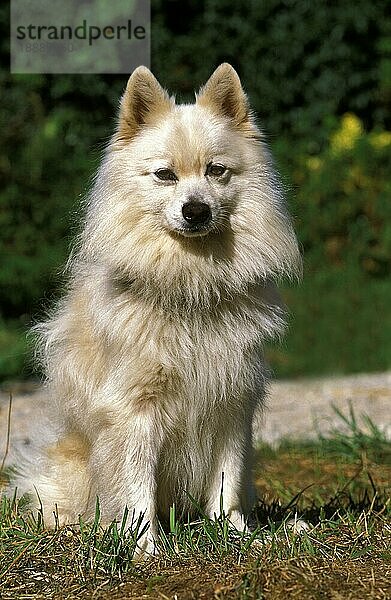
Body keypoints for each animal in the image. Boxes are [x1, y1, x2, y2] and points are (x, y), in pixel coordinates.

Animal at [13, 62, 302, 552]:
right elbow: (136, 489)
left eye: (216, 171)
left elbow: (226, 484)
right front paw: (144, 547)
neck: (191, 284)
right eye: (165, 175)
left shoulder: (231, 400)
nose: (195, 209)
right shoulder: (134, 410)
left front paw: (236, 535)